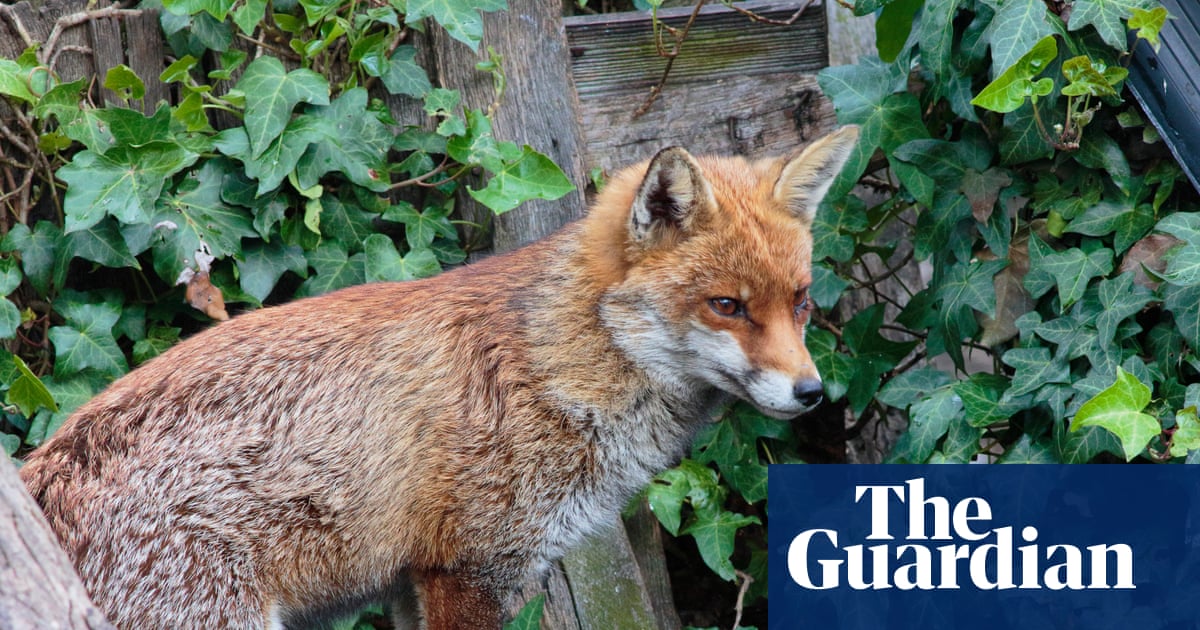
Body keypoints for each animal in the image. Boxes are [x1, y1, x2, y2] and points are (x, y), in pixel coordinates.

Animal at [18, 125, 858, 629]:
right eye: (727, 306)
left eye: (801, 303)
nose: (813, 394)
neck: (557, 363)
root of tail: (39, 477)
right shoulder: (469, 571)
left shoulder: (413, 583)